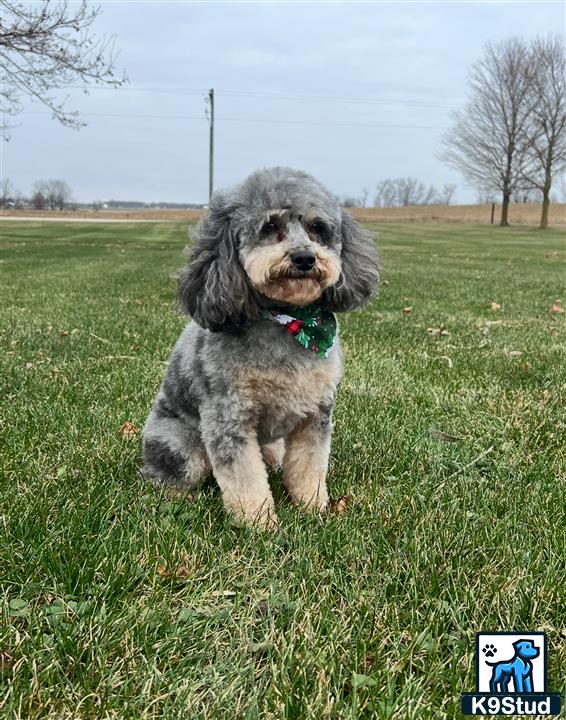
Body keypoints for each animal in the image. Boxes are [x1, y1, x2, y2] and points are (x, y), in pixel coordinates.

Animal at [142, 169, 382, 528]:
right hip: (181, 445)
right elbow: (245, 479)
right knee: (167, 475)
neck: (291, 323)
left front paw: (313, 508)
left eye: (317, 228)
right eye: (270, 227)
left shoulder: (315, 415)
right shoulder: (228, 419)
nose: (304, 258)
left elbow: (309, 467)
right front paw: (260, 525)